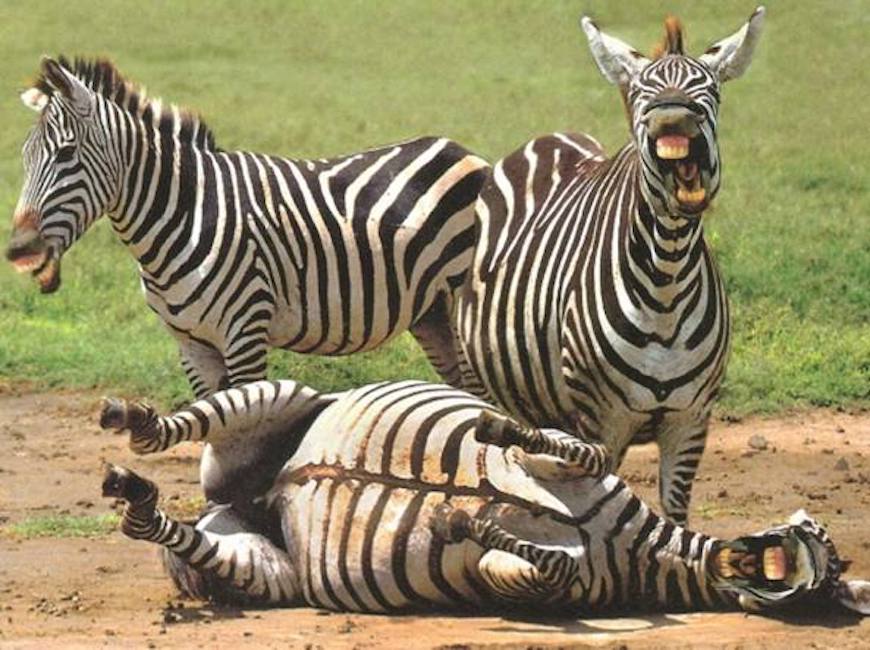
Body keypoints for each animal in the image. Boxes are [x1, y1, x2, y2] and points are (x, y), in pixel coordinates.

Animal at [6, 57, 488, 396]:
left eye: (67, 154)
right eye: (25, 157)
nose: (19, 251)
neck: (184, 215)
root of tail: (463, 151)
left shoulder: (245, 334)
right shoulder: (192, 348)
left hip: (462, 307)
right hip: (431, 312)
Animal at [101, 379, 869, 615]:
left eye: (832, 579)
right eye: (831, 552)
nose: (818, 559)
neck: (650, 554)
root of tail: (261, 496)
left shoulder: (539, 587)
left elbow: (538, 559)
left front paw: (463, 524)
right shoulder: (580, 463)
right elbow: (562, 446)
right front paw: (494, 429)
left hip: (267, 568)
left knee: (173, 530)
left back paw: (136, 499)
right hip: (286, 395)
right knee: (175, 428)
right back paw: (130, 422)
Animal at [455, 9, 766, 526]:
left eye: (710, 89)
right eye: (643, 92)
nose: (672, 116)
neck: (667, 282)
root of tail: (551, 139)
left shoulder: (690, 422)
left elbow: (675, 518)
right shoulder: (604, 421)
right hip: (485, 379)